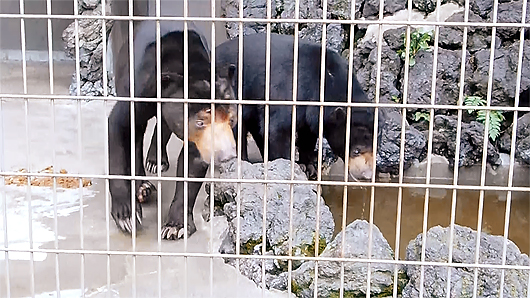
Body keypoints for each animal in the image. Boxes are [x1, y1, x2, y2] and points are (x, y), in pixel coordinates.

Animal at [108, 20, 236, 240]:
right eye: (200, 122)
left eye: (231, 119)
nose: (226, 155)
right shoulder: (140, 89)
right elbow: (119, 127)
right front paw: (127, 217)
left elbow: (191, 166)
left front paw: (175, 226)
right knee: (137, 134)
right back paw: (143, 186)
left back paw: (156, 162)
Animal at [146, 32, 374, 182]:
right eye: (356, 150)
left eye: (375, 146)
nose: (367, 175)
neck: (327, 80)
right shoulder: (290, 90)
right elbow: (278, 130)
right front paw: (289, 167)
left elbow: (307, 133)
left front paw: (309, 166)